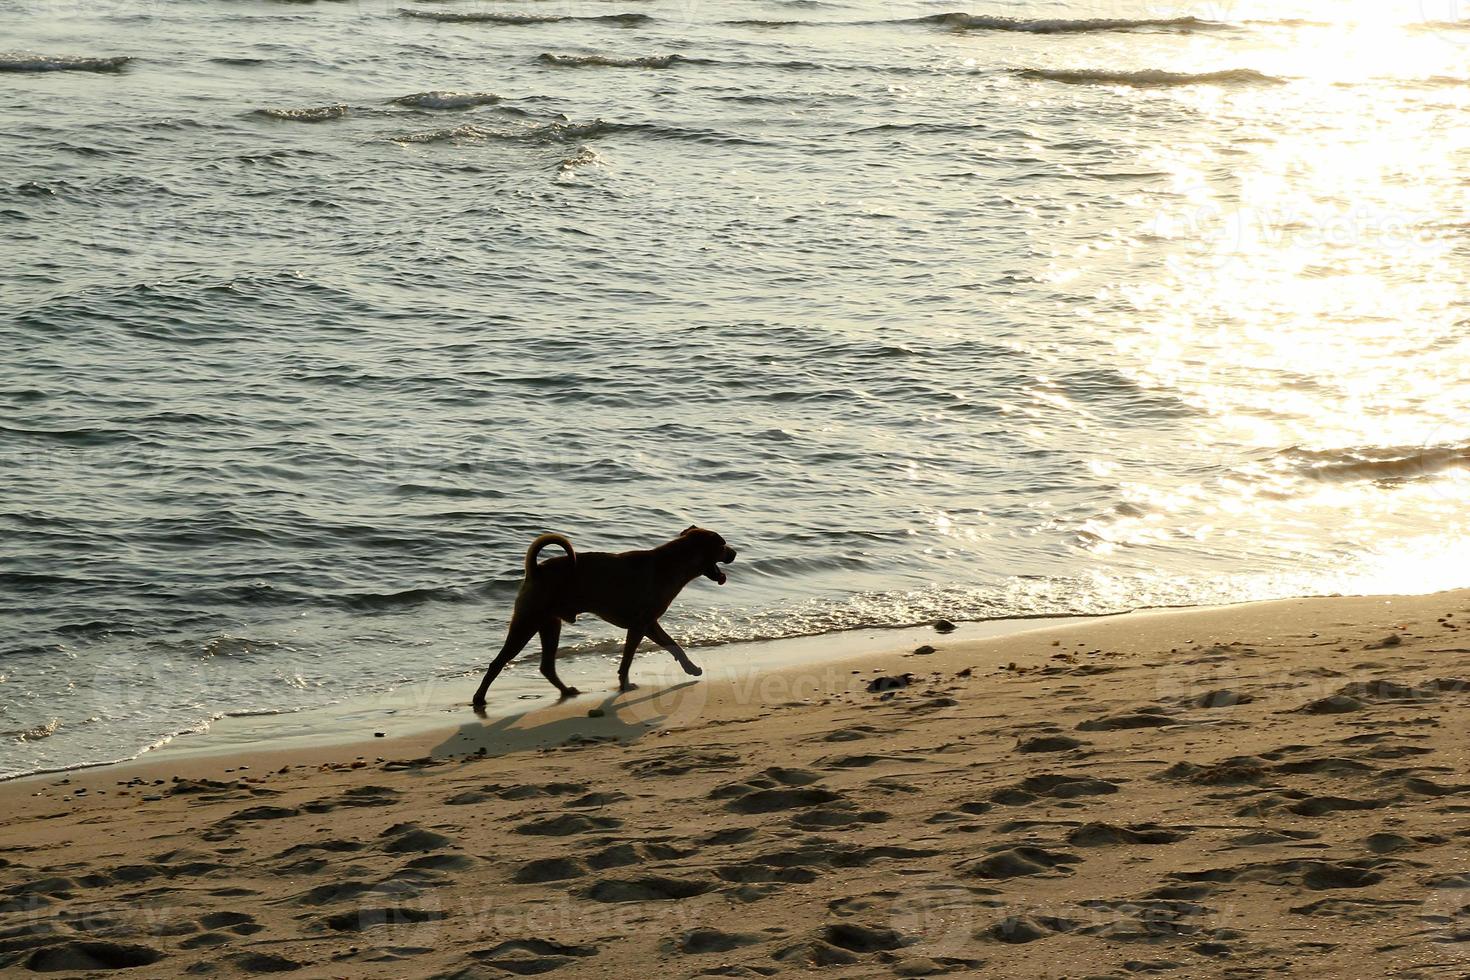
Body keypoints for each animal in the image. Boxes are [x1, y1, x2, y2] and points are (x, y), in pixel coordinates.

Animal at [473, 528, 735, 705]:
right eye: (722, 544)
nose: (734, 552)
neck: (673, 564)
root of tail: (535, 570)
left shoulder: (649, 624)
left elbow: (674, 646)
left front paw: (691, 668)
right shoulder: (640, 625)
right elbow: (628, 659)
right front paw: (625, 683)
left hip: (549, 624)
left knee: (547, 666)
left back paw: (566, 691)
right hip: (528, 621)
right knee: (498, 662)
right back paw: (479, 698)